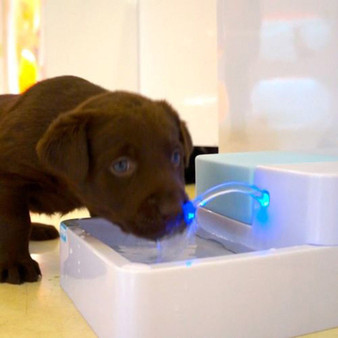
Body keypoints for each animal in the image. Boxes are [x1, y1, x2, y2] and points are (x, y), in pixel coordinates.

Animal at [0, 75, 191, 284]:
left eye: (176, 156)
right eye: (121, 165)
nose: (176, 211)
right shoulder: (9, 180)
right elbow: (15, 223)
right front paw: (16, 263)